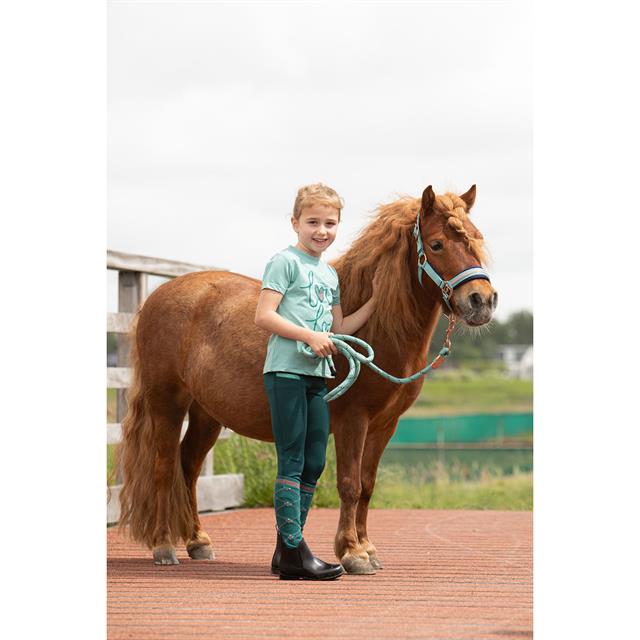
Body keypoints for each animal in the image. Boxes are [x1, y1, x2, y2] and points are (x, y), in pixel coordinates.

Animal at [116, 184, 497, 574]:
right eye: (436, 244)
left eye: (476, 239)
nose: (481, 301)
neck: (378, 329)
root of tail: (158, 297)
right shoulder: (352, 420)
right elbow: (349, 484)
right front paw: (352, 552)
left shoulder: (384, 425)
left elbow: (367, 484)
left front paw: (367, 548)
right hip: (166, 403)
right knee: (164, 468)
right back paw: (164, 546)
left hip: (207, 414)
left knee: (188, 466)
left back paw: (198, 542)